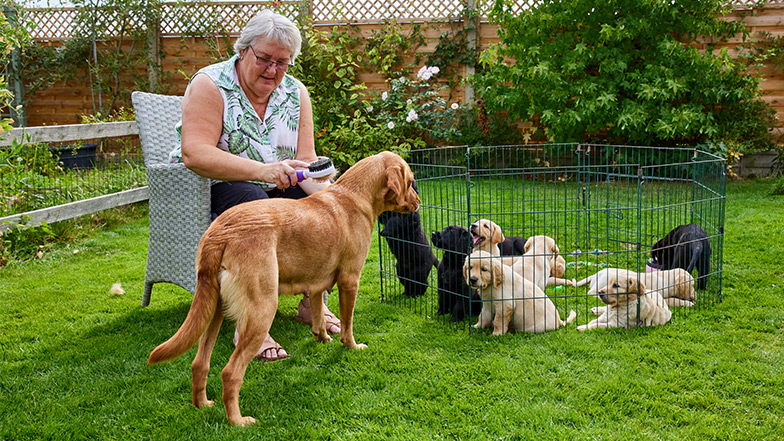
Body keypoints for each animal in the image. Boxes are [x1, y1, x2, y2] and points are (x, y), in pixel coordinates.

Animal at [144, 150, 420, 422]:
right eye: (410, 181)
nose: (418, 202)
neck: (355, 195)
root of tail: (219, 233)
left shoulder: (317, 284)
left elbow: (319, 316)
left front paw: (322, 338)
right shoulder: (350, 279)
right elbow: (347, 324)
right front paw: (351, 346)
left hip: (213, 309)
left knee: (199, 363)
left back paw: (202, 404)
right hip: (262, 308)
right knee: (230, 372)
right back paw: (238, 421)